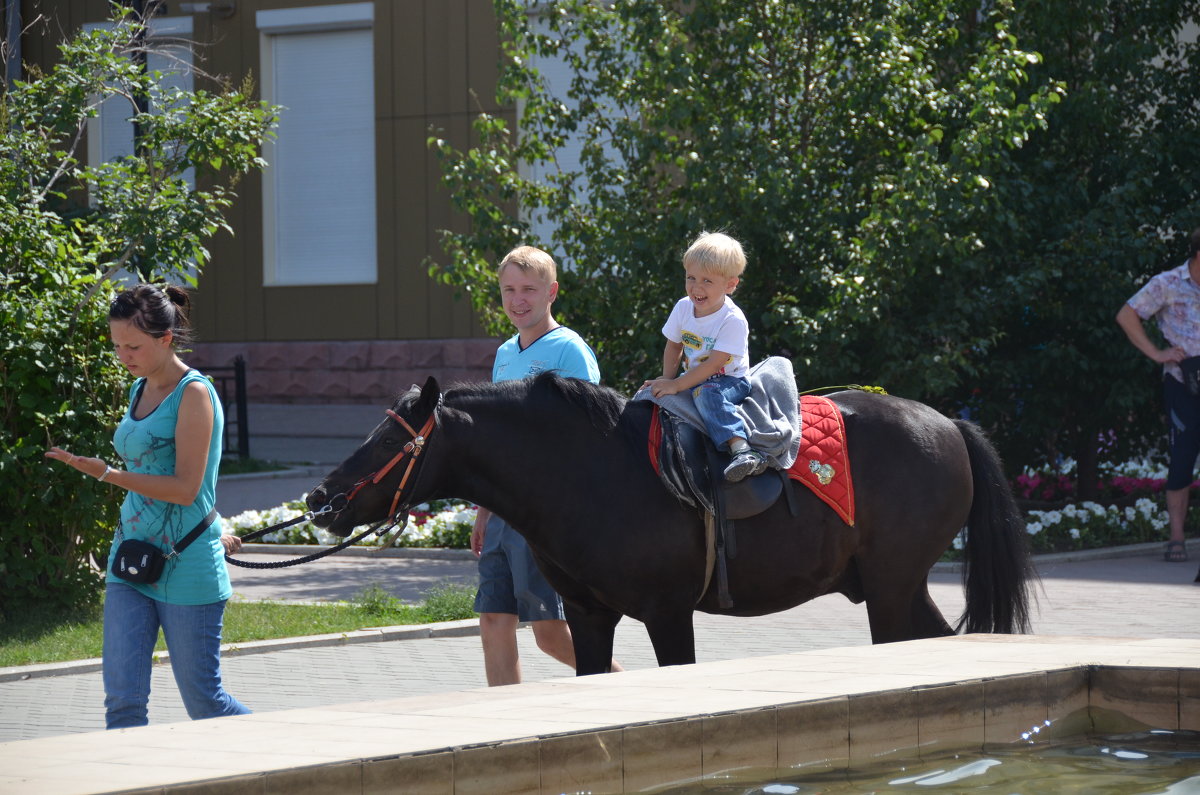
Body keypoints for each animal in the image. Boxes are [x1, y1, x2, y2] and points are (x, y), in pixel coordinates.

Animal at [309, 377, 1032, 677]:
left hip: (889, 588)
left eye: (391, 440)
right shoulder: (589, 616)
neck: (593, 470)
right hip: (900, 586)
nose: (321, 499)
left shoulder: (667, 612)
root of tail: (950, 426)